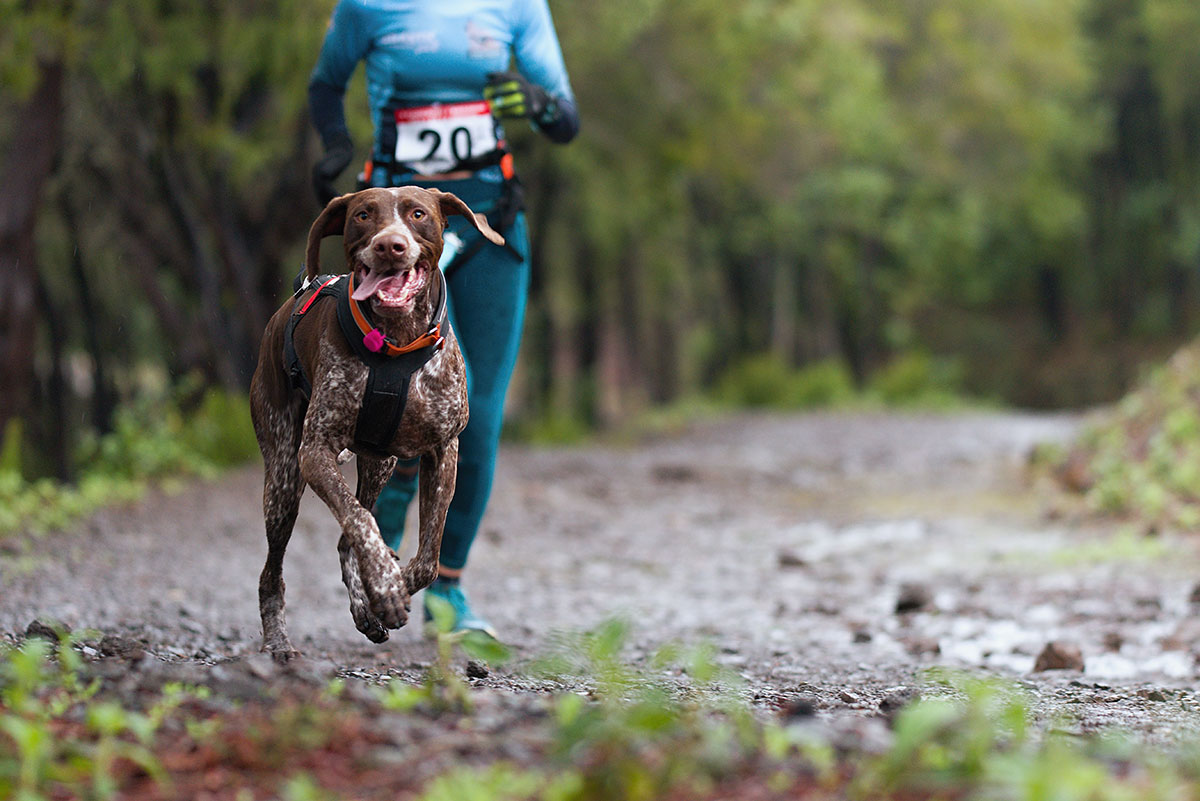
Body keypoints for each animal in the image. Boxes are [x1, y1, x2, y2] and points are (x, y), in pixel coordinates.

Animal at [248, 188, 501, 661]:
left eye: (418, 214)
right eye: (364, 215)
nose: (390, 246)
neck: (397, 341)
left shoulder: (444, 451)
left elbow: (428, 558)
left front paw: (387, 590)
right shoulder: (315, 452)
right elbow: (361, 521)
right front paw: (384, 586)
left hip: (380, 463)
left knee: (347, 536)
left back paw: (365, 609)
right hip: (285, 479)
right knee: (275, 571)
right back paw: (278, 641)